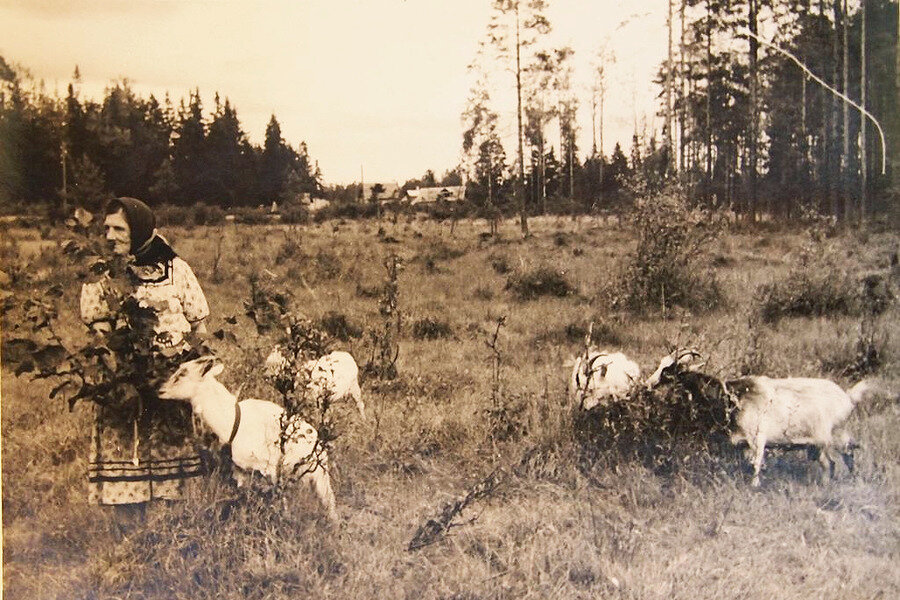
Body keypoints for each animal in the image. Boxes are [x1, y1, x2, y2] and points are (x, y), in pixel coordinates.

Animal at [158, 356, 338, 520]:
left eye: (183, 373)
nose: (160, 390)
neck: (232, 422)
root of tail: (317, 438)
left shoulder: (270, 470)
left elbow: (278, 499)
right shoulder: (241, 472)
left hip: (317, 473)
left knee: (328, 501)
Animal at [648, 350, 872, 486]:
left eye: (668, 370)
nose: (649, 383)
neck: (731, 396)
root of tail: (847, 398)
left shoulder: (757, 440)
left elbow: (755, 467)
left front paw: (754, 487)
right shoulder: (741, 445)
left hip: (829, 440)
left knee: (836, 462)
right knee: (844, 458)